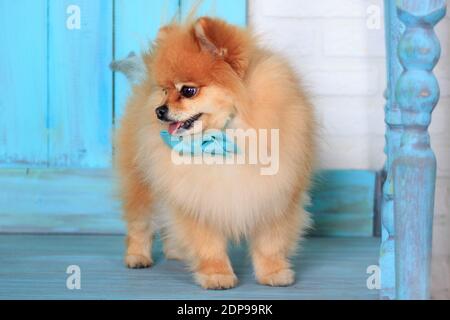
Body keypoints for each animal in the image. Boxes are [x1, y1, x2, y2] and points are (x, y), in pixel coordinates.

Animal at [116, 15, 314, 290]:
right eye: (165, 91)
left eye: (188, 91)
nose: (159, 110)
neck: (223, 138)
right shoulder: (198, 200)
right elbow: (208, 245)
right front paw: (216, 275)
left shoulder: (276, 196)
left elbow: (270, 243)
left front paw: (274, 273)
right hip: (140, 184)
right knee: (140, 222)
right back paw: (137, 256)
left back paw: (177, 251)